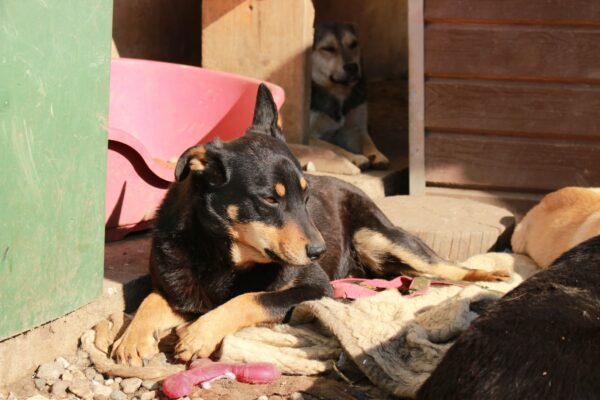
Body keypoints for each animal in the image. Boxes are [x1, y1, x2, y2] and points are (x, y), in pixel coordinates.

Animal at [111, 84, 506, 366]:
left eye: (305, 195)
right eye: (270, 200)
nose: (320, 251)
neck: (225, 255)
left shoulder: (315, 287)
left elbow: (250, 298)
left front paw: (200, 333)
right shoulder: (179, 288)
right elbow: (150, 300)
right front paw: (132, 338)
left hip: (379, 238)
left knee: (446, 266)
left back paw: (491, 277)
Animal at [310, 22, 390, 170]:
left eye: (353, 44)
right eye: (328, 49)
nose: (352, 66)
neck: (338, 92)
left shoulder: (354, 129)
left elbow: (367, 142)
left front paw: (377, 155)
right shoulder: (310, 135)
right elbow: (333, 148)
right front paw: (356, 158)